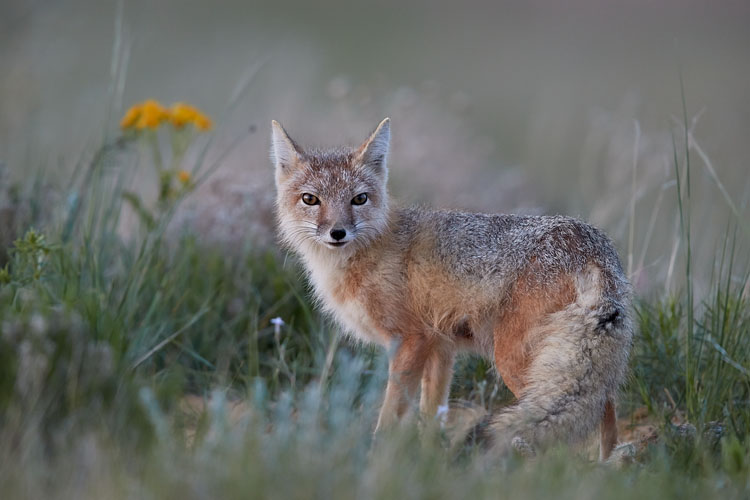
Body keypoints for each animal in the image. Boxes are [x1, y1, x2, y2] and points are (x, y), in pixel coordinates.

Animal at [271, 117, 633, 460]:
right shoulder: (440, 347)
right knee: (606, 409)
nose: (338, 232)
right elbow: (431, 415)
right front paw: (429, 459)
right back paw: (607, 465)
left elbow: (391, 412)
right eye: (310, 199)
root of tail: (589, 245)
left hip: (516, 363)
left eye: (358, 199)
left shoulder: (410, 340)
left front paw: (375, 455)